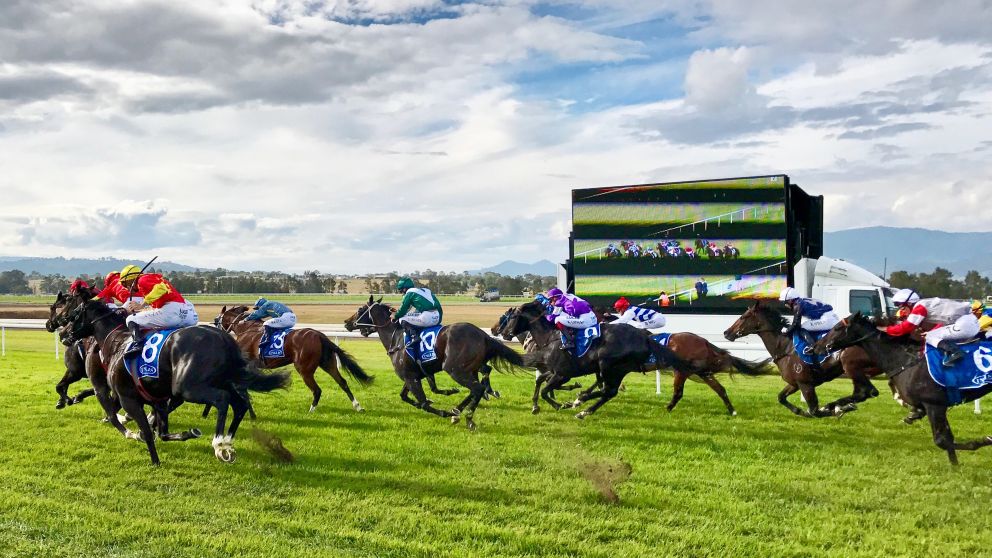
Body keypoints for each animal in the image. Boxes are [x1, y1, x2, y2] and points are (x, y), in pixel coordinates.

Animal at [60, 300, 288, 466]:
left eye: (72, 313)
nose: (63, 334)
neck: (116, 343)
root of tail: (224, 338)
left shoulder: (127, 398)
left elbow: (142, 429)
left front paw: (153, 458)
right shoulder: (159, 401)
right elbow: (162, 433)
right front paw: (188, 433)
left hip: (188, 388)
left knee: (222, 400)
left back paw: (219, 443)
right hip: (224, 382)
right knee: (239, 404)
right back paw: (228, 444)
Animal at [215, 308, 374, 414]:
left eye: (217, 320)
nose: (217, 329)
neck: (246, 329)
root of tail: (320, 335)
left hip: (304, 369)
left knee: (317, 390)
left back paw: (311, 410)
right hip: (328, 363)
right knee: (342, 382)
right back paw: (358, 406)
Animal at [342, 298, 528, 434]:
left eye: (360, 309)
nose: (346, 323)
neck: (396, 339)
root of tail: (483, 335)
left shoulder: (410, 377)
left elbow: (424, 403)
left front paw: (444, 412)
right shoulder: (414, 375)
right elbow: (406, 396)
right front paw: (447, 398)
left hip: (455, 370)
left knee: (477, 389)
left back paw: (466, 418)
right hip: (470, 369)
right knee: (477, 388)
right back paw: (458, 411)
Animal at [720, 302, 884, 420]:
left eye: (743, 316)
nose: (726, 332)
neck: (785, 346)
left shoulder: (806, 384)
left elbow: (814, 411)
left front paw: (832, 410)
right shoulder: (795, 383)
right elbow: (781, 398)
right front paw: (801, 410)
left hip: (850, 367)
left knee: (867, 392)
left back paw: (839, 406)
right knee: (865, 392)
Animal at [816, 312, 992, 466]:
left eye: (838, 327)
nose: (815, 347)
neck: (905, 360)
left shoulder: (934, 405)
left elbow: (942, 440)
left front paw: (984, 441)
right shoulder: (935, 406)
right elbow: (946, 439)